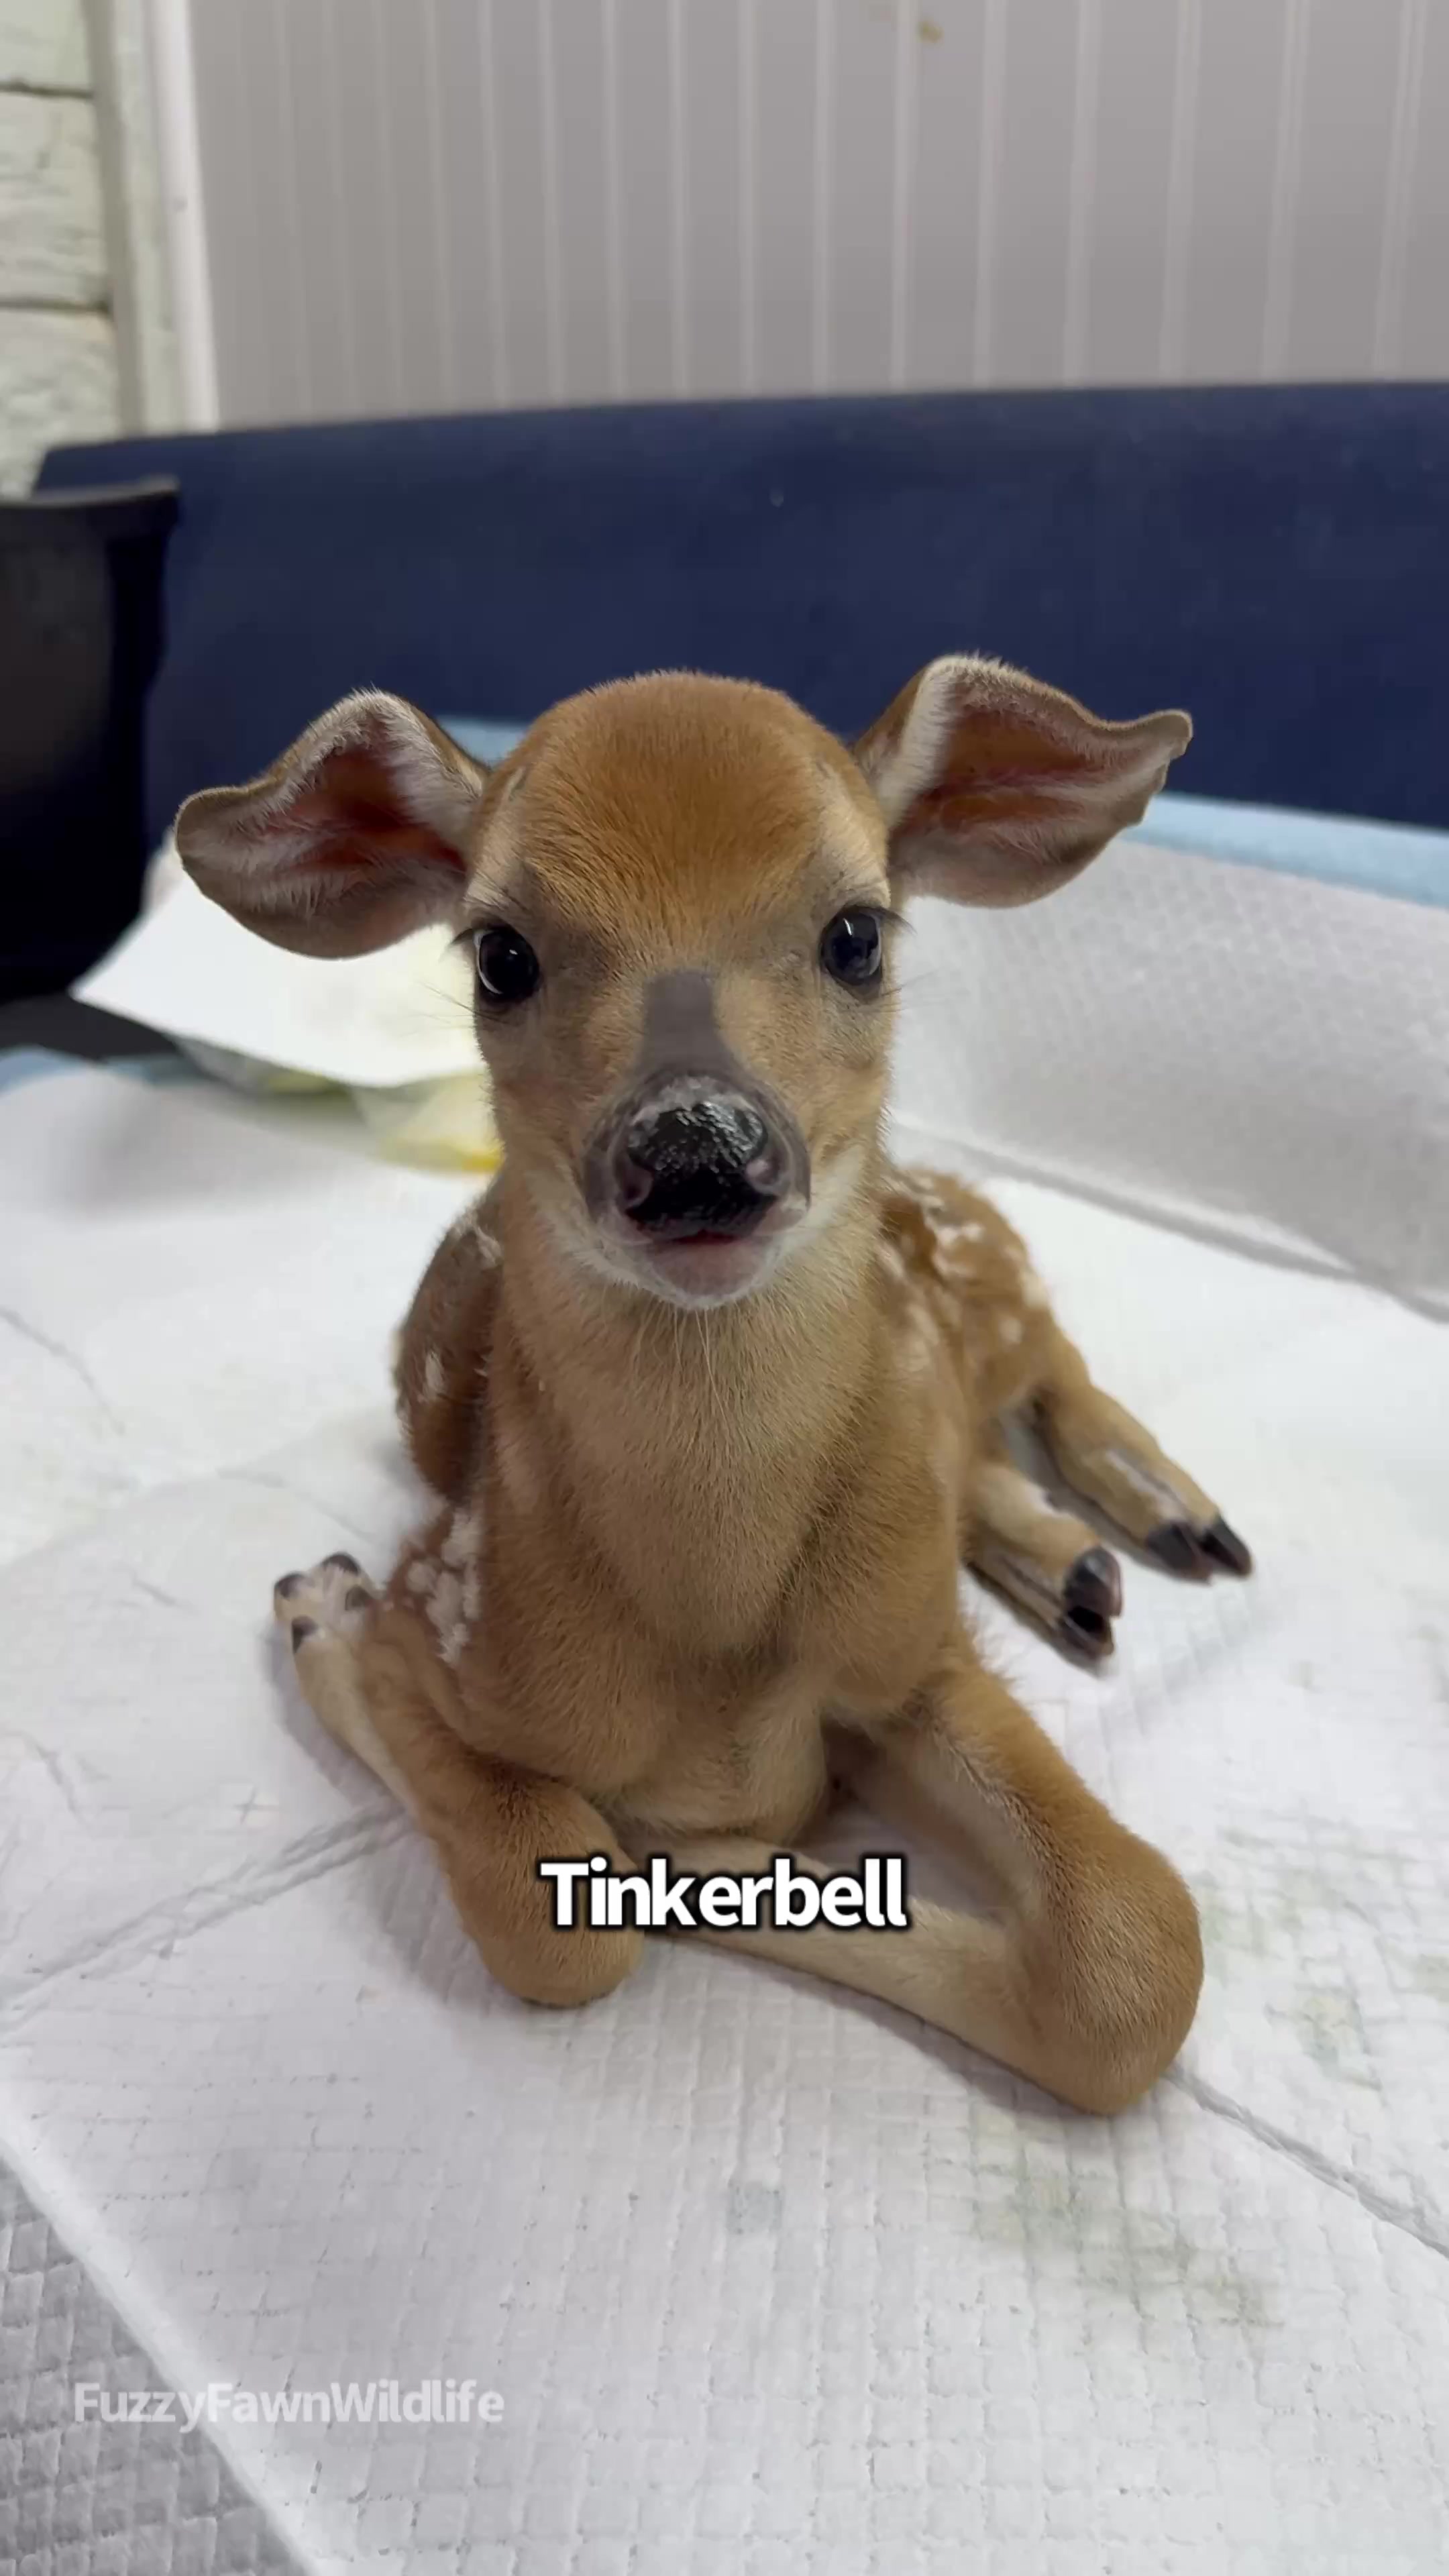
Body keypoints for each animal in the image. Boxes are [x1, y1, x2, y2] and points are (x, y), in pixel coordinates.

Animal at [175, 655, 1251, 2114]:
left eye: (858, 934)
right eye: (500, 955)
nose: (697, 1149)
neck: (708, 1628)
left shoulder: (910, 1648)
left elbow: (1137, 1949)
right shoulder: (445, 1601)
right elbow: (562, 1920)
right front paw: (326, 1610)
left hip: (996, 1282)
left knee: (1057, 1369)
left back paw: (1173, 1517)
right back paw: (1076, 1570)